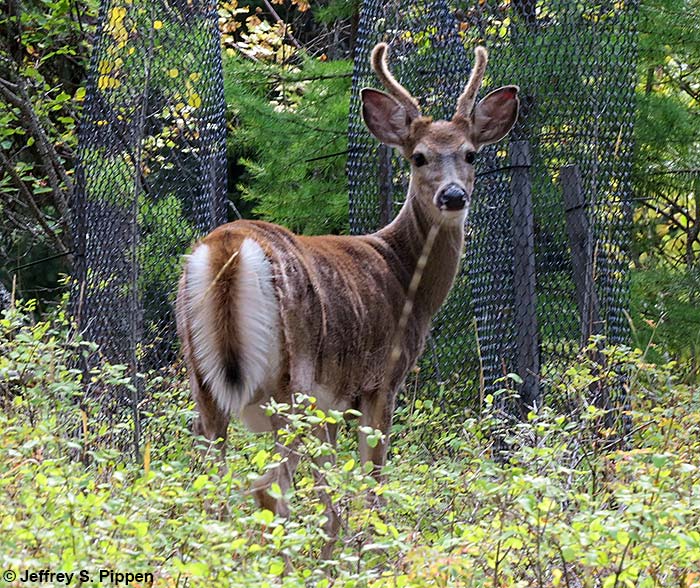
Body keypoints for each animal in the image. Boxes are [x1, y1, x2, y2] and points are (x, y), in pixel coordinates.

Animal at [176, 41, 518, 538]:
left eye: (471, 154)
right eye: (418, 156)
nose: (453, 196)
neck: (405, 276)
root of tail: (228, 248)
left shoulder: (335, 402)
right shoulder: (381, 380)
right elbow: (372, 480)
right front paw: (374, 538)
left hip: (201, 374)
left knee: (214, 484)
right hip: (291, 377)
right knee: (272, 489)